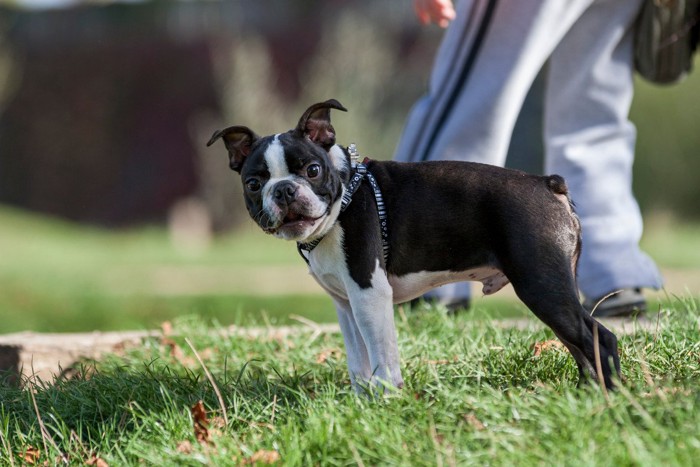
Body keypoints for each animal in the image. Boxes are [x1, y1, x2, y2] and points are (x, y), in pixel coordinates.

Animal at [205, 100, 620, 394]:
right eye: (254, 184)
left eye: (312, 170)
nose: (285, 190)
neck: (343, 200)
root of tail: (548, 183)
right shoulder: (346, 303)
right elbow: (358, 360)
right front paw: (361, 402)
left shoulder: (371, 294)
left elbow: (382, 355)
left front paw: (387, 400)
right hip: (550, 290)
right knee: (579, 345)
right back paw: (585, 395)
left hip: (540, 284)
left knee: (600, 338)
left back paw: (611, 399)